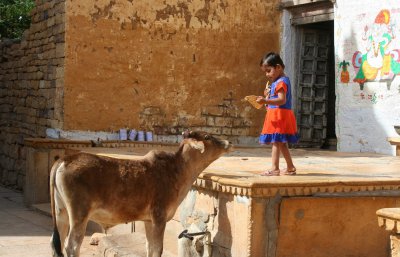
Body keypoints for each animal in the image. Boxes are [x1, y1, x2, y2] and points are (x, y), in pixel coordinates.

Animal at [50, 131, 233, 255]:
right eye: (207, 136)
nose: (228, 142)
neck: (177, 170)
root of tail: (65, 159)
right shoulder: (159, 217)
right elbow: (157, 249)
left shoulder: (147, 220)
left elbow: (149, 247)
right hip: (79, 214)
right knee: (71, 246)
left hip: (61, 212)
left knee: (55, 243)